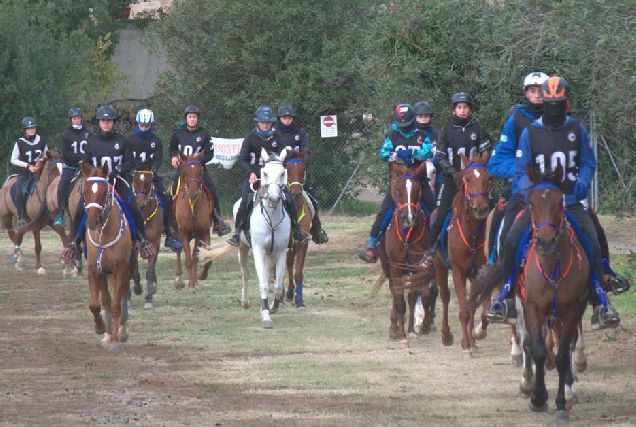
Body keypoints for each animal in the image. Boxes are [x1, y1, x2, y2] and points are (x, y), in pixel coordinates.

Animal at [79, 162, 138, 352]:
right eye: (85, 191)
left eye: (105, 192)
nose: (92, 222)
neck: (104, 234)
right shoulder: (94, 269)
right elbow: (96, 304)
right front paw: (100, 328)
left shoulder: (122, 269)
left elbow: (116, 306)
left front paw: (114, 340)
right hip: (105, 272)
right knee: (106, 300)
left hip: (127, 268)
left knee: (123, 297)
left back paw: (122, 330)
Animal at [173, 150, 212, 294]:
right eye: (185, 171)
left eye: (200, 171)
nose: (193, 194)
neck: (192, 207)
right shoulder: (183, 233)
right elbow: (188, 260)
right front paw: (190, 285)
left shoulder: (204, 232)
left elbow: (204, 257)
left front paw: (201, 276)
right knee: (178, 251)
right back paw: (179, 280)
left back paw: (196, 281)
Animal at [376, 162, 434, 350]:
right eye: (399, 189)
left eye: (417, 189)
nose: (408, 217)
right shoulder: (395, 265)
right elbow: (400, 301)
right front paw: (402, 336)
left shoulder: (418, 266)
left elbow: (415, 297)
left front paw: (412, 332)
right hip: (387, 266)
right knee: (394, 292)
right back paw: (394, 328)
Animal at [432, 152, 492, 360]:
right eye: (467, 178)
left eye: (488, 178)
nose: (480, 208)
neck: (471, 232)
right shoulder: (458, 272)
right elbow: (464, 310)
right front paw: (465, 346)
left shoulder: (475, 273)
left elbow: (471, 307)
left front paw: (472, 343)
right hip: (440, 267)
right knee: (445, 296)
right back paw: (446, 335)